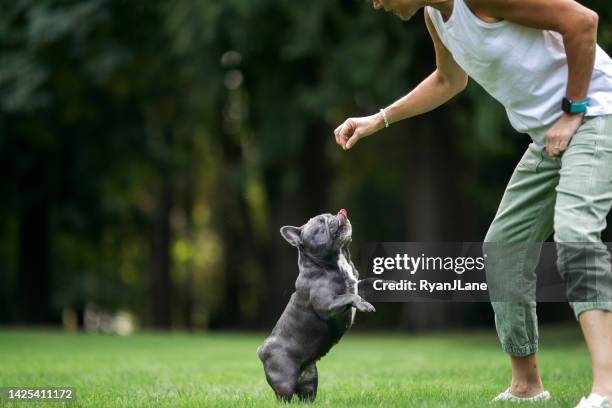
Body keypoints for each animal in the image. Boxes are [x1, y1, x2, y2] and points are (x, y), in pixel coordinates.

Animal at [256, 209, 376, 404]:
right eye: (320, 223)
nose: (337, 214)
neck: (334, 262)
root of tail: (261, 350)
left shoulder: (357, 284)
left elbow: (368, 284)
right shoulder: (327, 304)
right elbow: (350, 296)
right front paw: (364, 305)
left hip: (310, 377)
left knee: (306, 394)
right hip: (284, 379)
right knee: (284, 396)